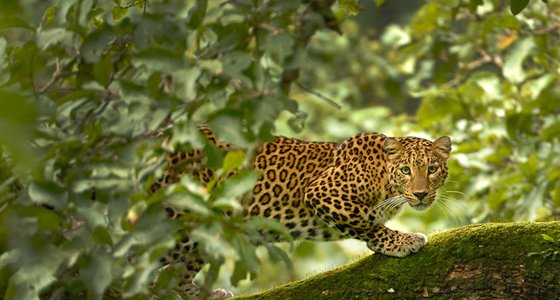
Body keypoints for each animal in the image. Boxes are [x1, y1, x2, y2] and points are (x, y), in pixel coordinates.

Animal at [152, 125, 450, 298]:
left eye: (432, 169)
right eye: (406, 170)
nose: (421, 194)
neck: (384, 179)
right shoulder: (322, 193)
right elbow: (365, 224)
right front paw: (402, 241)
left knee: (176, 273)